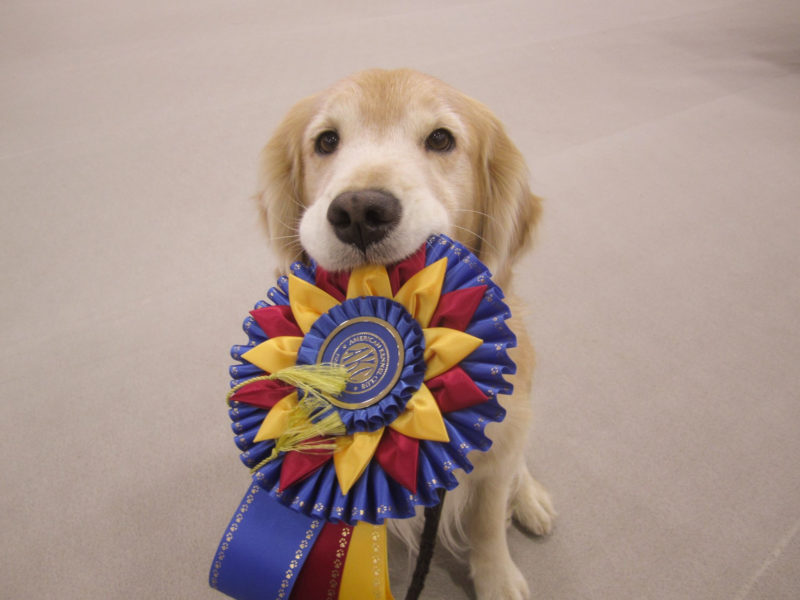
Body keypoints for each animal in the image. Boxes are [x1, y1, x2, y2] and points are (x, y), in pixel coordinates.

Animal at [258, 68, 556, 596]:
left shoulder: (494, 451)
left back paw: (530, 498)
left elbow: (486, 519)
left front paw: (497, 578)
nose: (359, 211)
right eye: (326, 141)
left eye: (441, 139)